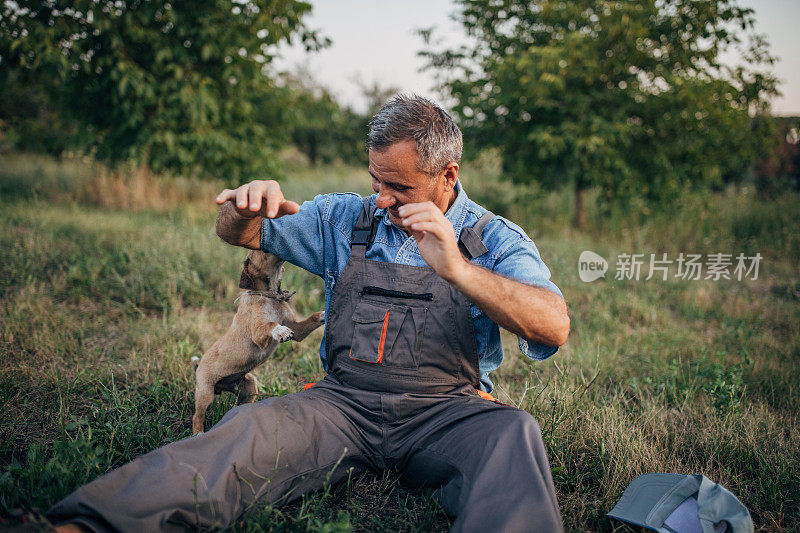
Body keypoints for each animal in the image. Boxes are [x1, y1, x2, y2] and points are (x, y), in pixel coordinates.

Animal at [191, 249, 324, 432]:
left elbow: (312, 318)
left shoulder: (297, 330)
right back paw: (198, 433)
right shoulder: (257, 334)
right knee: (197, 417)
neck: (270, 297)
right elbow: (270, 324)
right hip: (205, 393)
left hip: (250, 386)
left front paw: (325, 314)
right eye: (258, 251)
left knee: (239, 405)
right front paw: (280, 330)